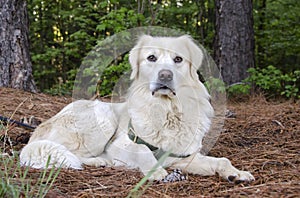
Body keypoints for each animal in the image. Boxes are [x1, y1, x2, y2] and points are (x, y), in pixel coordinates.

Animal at [19, 34, 253, 183]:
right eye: (151, 58)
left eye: (178, 59)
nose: (165, 75)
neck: (167, 111)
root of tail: (35, 134)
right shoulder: (122, 143)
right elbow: (142, 150)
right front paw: (156, 172)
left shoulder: (181, 156)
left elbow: (221, 160)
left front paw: (236, 173)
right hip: (102, 117)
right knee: (71, 153)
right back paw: (100, 161)